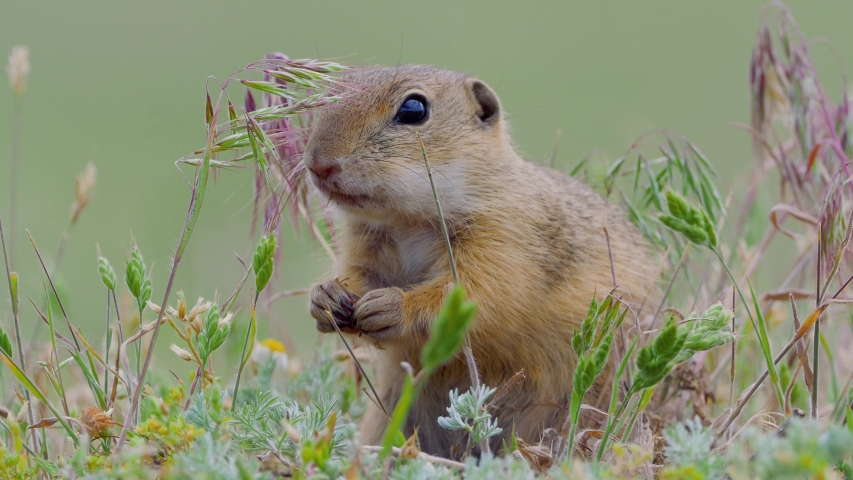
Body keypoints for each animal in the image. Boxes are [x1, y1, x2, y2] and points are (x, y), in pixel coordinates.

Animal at [304, 65, 656, 459]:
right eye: (328, 96)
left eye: (413, 109)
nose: (318, 164)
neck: (408, 223)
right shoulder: (365, 247)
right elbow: (356, 274)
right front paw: (326, 298)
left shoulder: (502, 241)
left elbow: (474, 297)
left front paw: (392, 307)